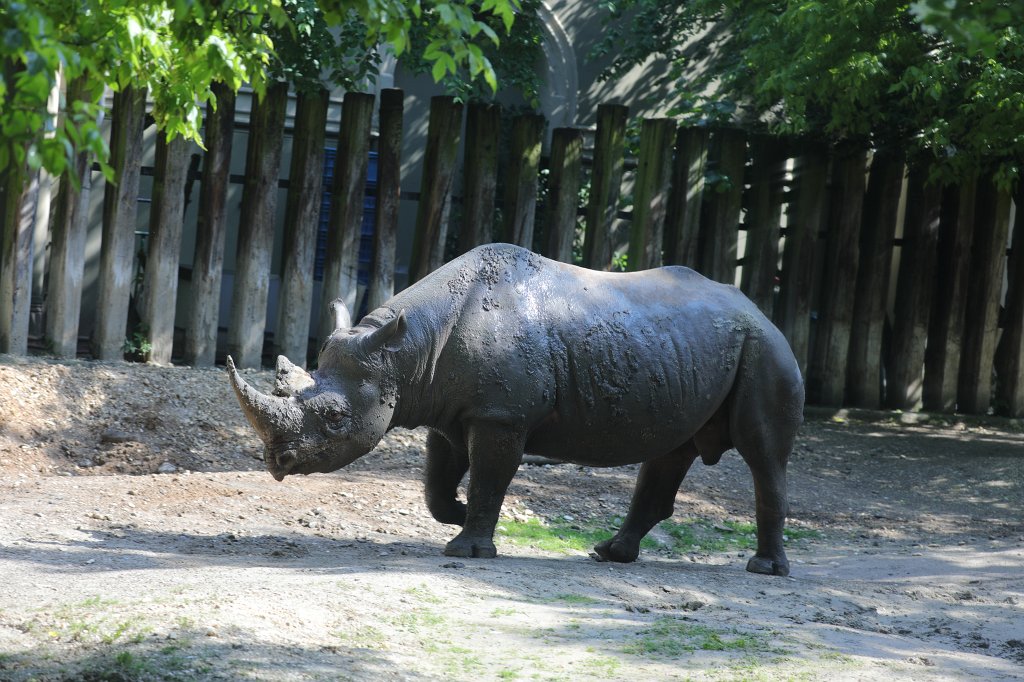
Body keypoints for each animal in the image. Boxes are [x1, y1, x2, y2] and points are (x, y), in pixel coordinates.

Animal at [228, 243, 804, 576]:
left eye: (334, 419)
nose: (276, 464)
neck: (406, 352)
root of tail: (759, 309)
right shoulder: (453, 410)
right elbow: (436, 482)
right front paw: (457, 515)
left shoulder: (501, 415)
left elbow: (489, 476)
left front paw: (467, 551)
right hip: (693, 349)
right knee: (672, 452)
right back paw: (607, 554)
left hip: (765, 351)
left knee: (762, 454)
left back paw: (764, 569)